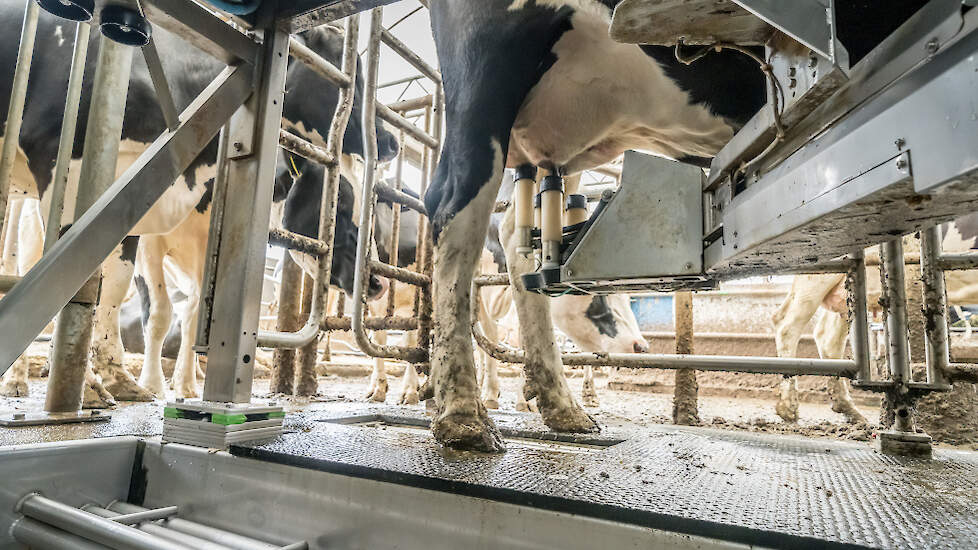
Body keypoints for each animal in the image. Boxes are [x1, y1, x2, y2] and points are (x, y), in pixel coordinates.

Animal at [420, 0, 924, 452]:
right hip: (488, 70)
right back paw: (463, 414)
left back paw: (562, 408)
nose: (641, 348)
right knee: (451, 204)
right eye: (600, 305)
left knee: (517, 234)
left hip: (557, 143)